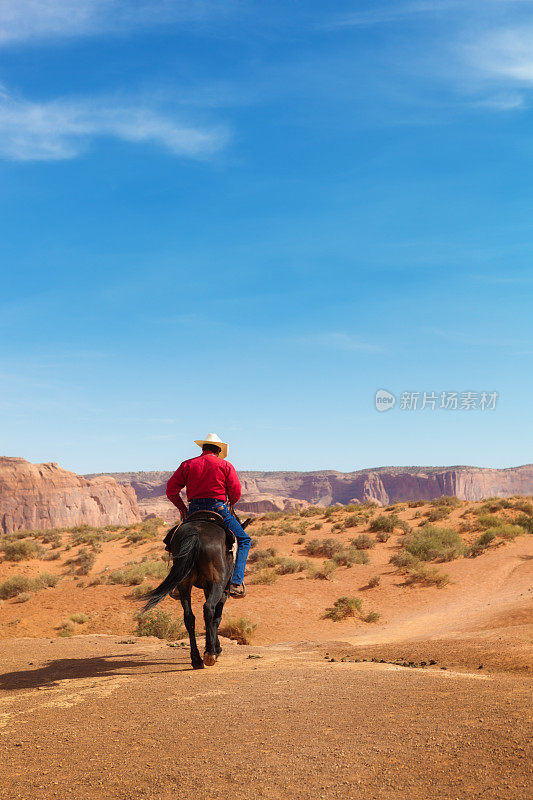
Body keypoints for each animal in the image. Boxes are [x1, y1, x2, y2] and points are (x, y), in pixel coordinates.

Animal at [142, 512, 252, 668]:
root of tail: (195, 535)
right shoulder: (222, 591)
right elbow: (216, 618)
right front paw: (216, 649)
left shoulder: (207, 588)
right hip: (218, 583)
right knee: (208, 609)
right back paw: (210, 654)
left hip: (184, 585)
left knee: (189, 617)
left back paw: (196, 659)